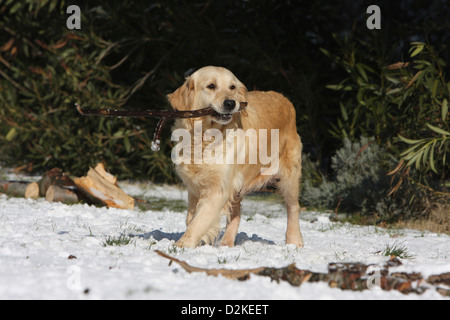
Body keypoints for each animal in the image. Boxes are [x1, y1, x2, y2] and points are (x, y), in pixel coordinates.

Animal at [168, 66, 302, 249]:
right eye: (211, 86)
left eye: (232, 87)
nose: (230, 103)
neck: (205, 138)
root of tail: (285, 99)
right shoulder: (194, 187)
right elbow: (191, 218)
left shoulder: (219, 189)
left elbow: (199, 220)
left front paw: (183, 244)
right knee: (236, 213)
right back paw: (226, 244)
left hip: (289, 176)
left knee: (293, 207)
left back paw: (294, 242)